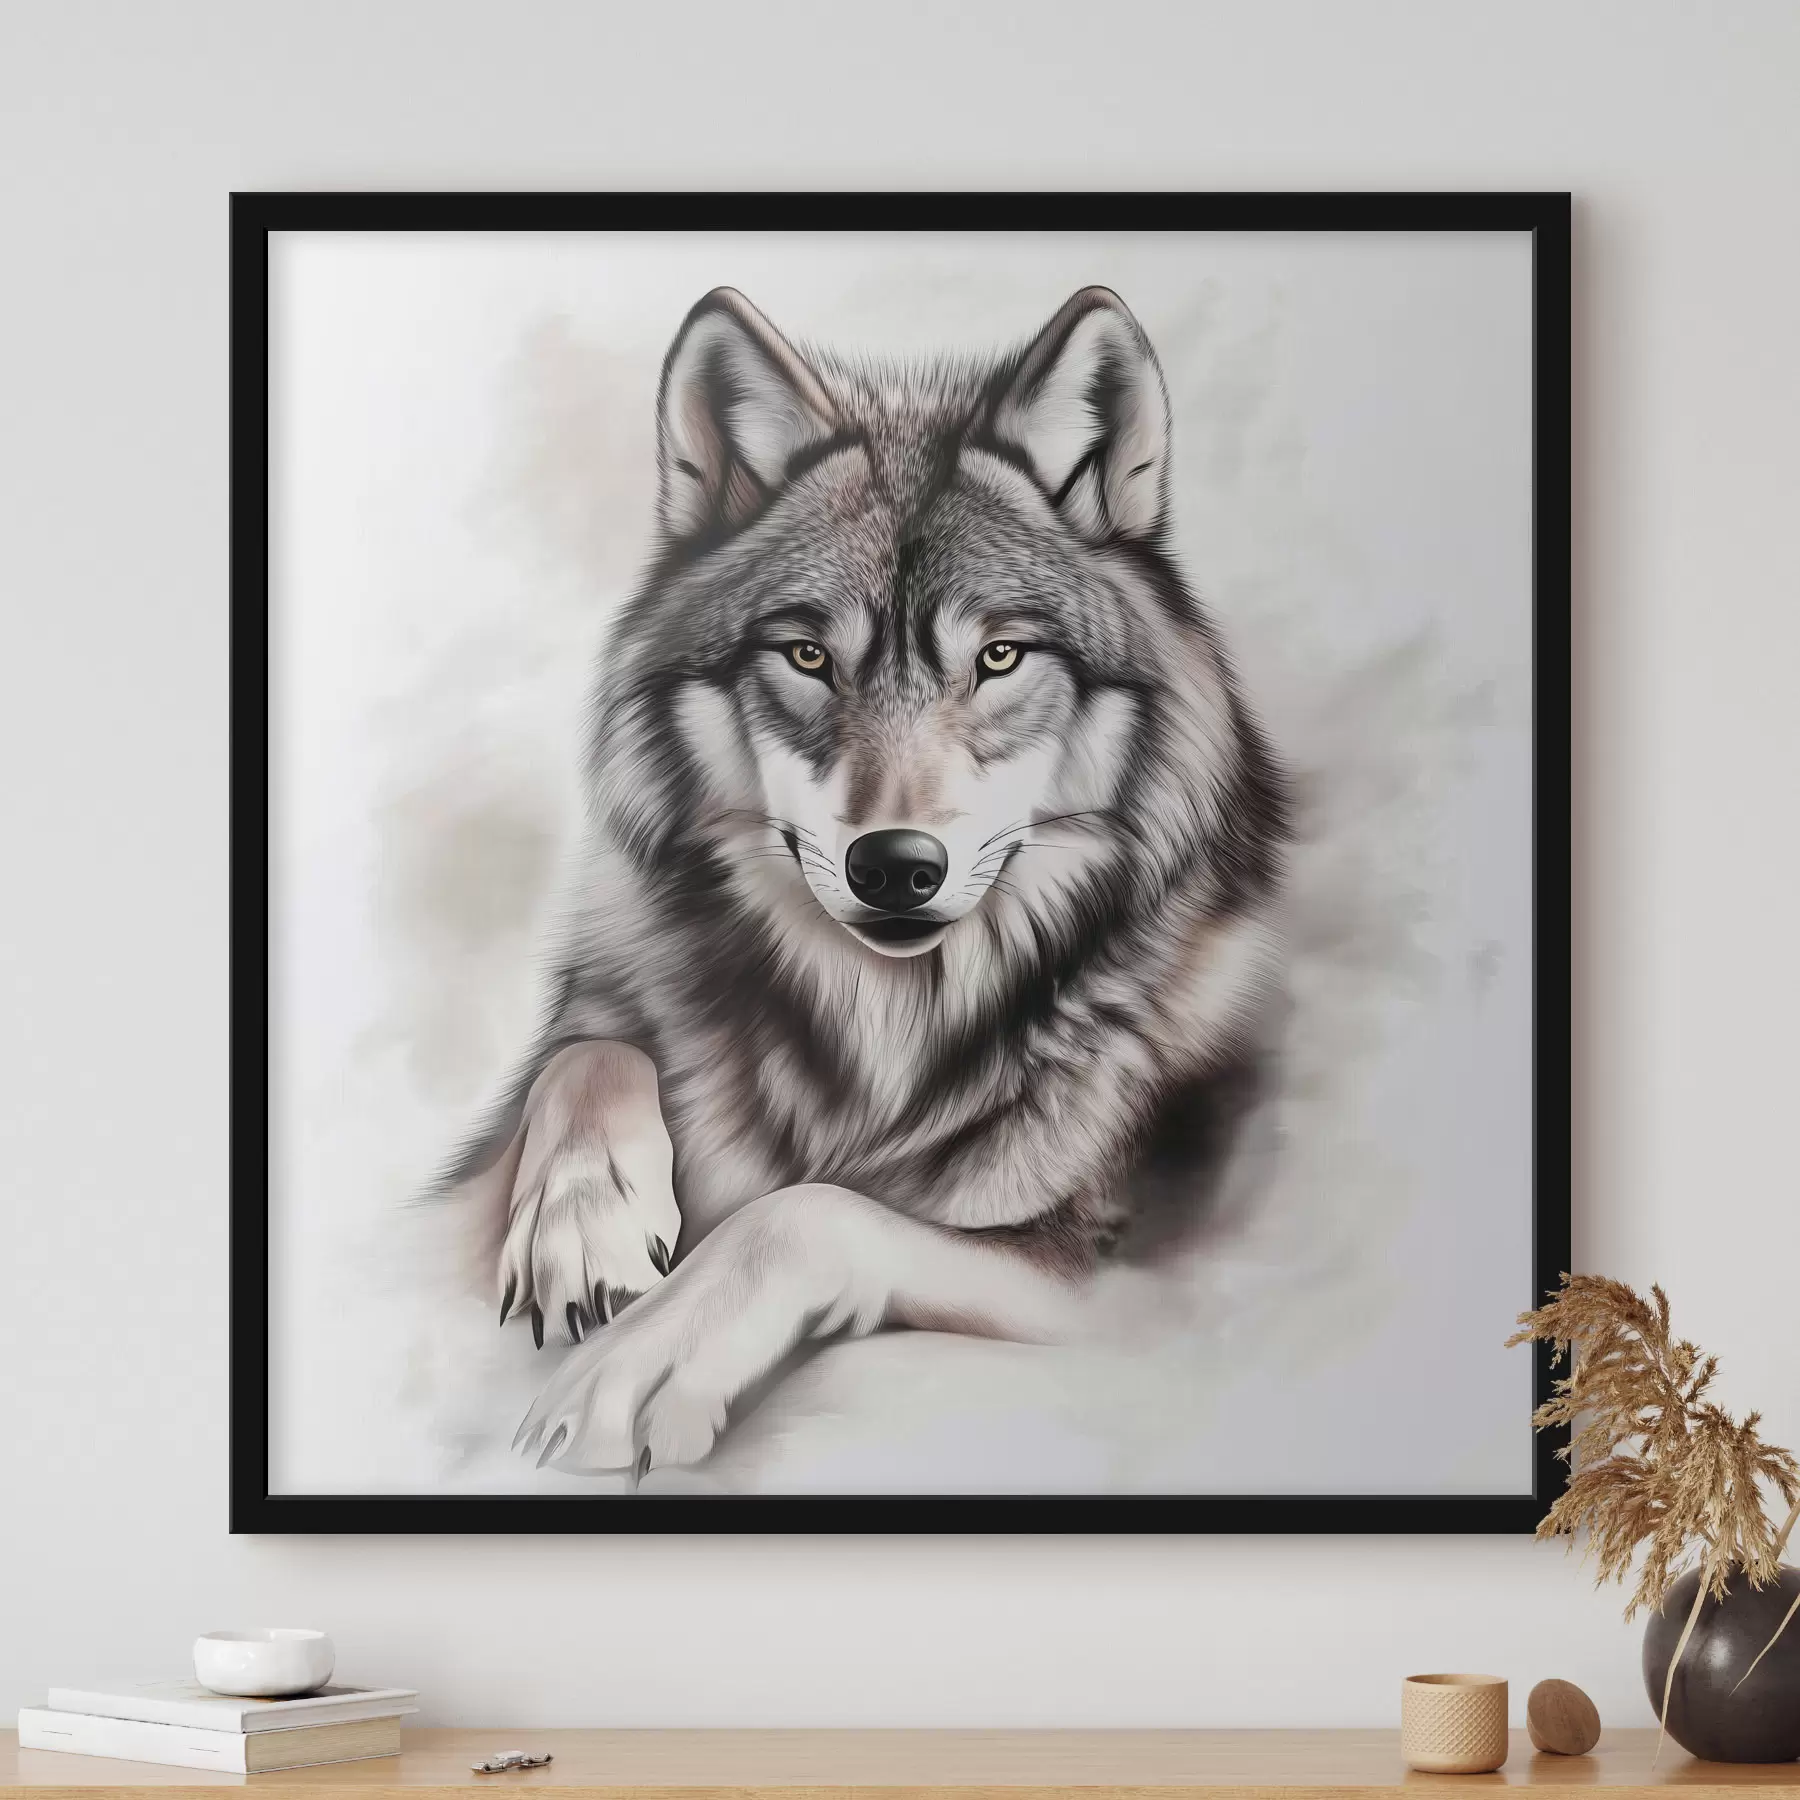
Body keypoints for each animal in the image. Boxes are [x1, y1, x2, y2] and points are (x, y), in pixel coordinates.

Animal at [439, 284, 1289, 1475]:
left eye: (998, 657)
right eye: (806, 657)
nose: (895, 867)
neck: (882, 1026)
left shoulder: (1118, 1282)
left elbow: (807, 1210)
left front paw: (639, 1363)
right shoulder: (605, 988)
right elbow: (590, 1051)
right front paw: (584, 1226)